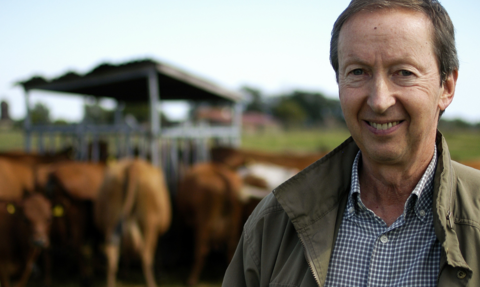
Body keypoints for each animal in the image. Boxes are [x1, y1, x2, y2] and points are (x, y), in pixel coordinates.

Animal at [94, 159, 172, 287]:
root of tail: (132, 165)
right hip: (149, 223)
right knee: (145, 255)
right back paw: (152, 283)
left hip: (111, 219)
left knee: (112, 255)